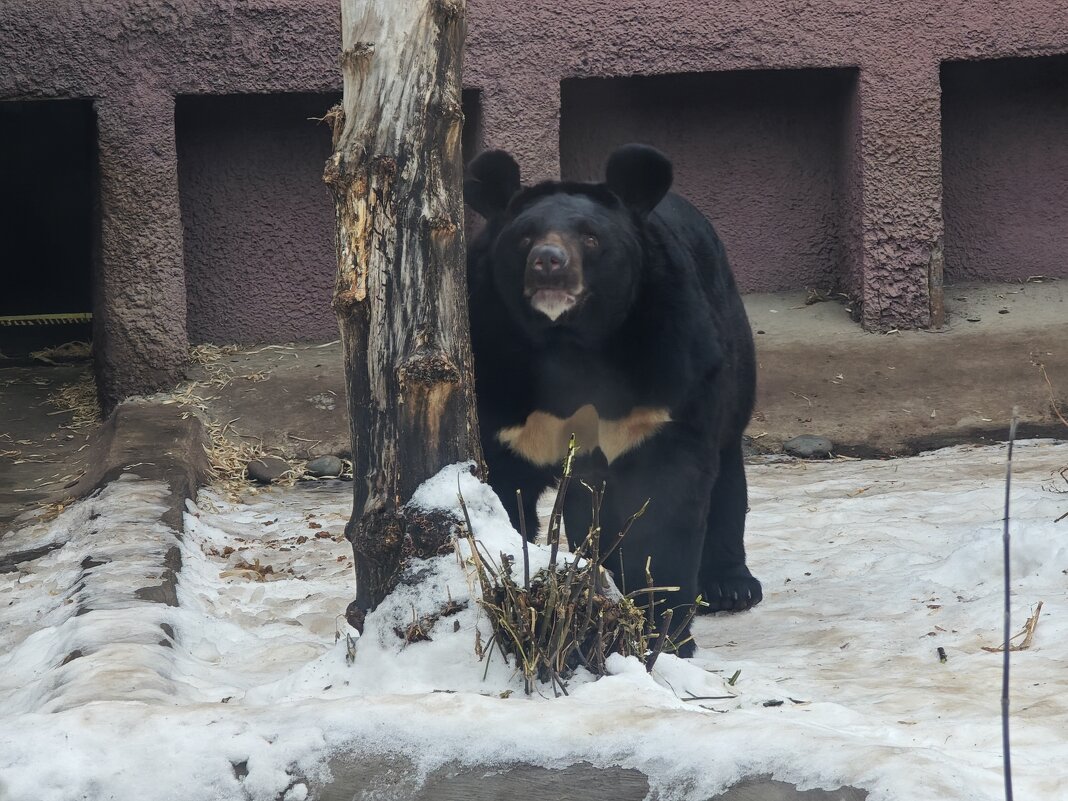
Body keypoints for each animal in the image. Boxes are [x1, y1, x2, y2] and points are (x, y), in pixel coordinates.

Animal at [465, 144, 760, 653]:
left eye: (590, 237)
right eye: (524, 238)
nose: (549, 262)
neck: (568, 342)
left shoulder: (665, 359)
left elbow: (667, 496)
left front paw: (664, 631)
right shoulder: (496, 367)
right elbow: (500, 488)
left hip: (730, 347)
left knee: (726, 468)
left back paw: (731, 585)